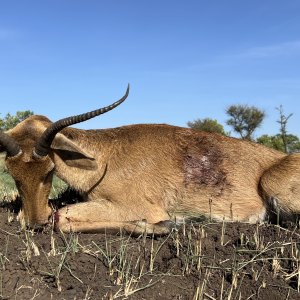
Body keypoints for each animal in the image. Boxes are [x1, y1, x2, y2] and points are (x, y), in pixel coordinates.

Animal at [0, 85, 300, 233]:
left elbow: (61, 217)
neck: (103, 160)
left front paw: (169, 224)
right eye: (14, 175)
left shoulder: (143, 207)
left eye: (48, 170)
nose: (35, 223)